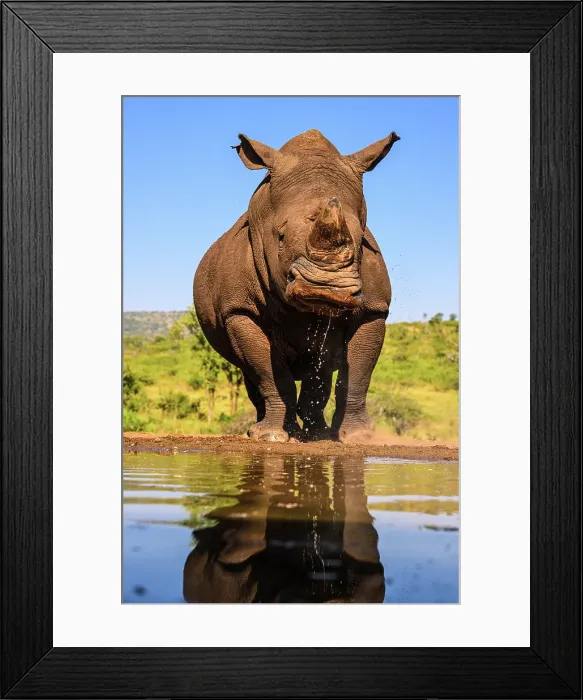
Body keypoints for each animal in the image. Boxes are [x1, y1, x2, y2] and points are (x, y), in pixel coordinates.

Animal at [193, 129, 399, 442]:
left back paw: (318, 434)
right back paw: (270, 430)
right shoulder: (239, 310)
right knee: (250, 372)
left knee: (321, 367)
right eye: (279, 237)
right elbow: (270, 373)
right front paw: (271, 437)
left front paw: (358, 437)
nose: (326, 288)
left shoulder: (374, 310)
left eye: (359, 237)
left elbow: (358, 375)